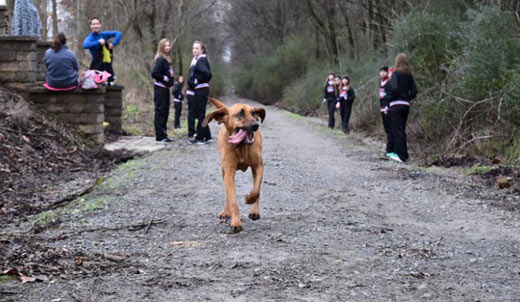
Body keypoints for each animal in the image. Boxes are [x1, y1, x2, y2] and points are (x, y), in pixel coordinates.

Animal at [202, 97, 266, 234]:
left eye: (253, 113)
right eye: (240, 114)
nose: (256, 125)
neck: (241, 147)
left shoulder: (258, 167)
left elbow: (256, 190)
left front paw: (249, 199)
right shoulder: (229, 173)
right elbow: (232, 199)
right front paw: (235, 223)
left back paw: (254, 211)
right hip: (223, 172)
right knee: (228, 195)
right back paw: (226, 212)